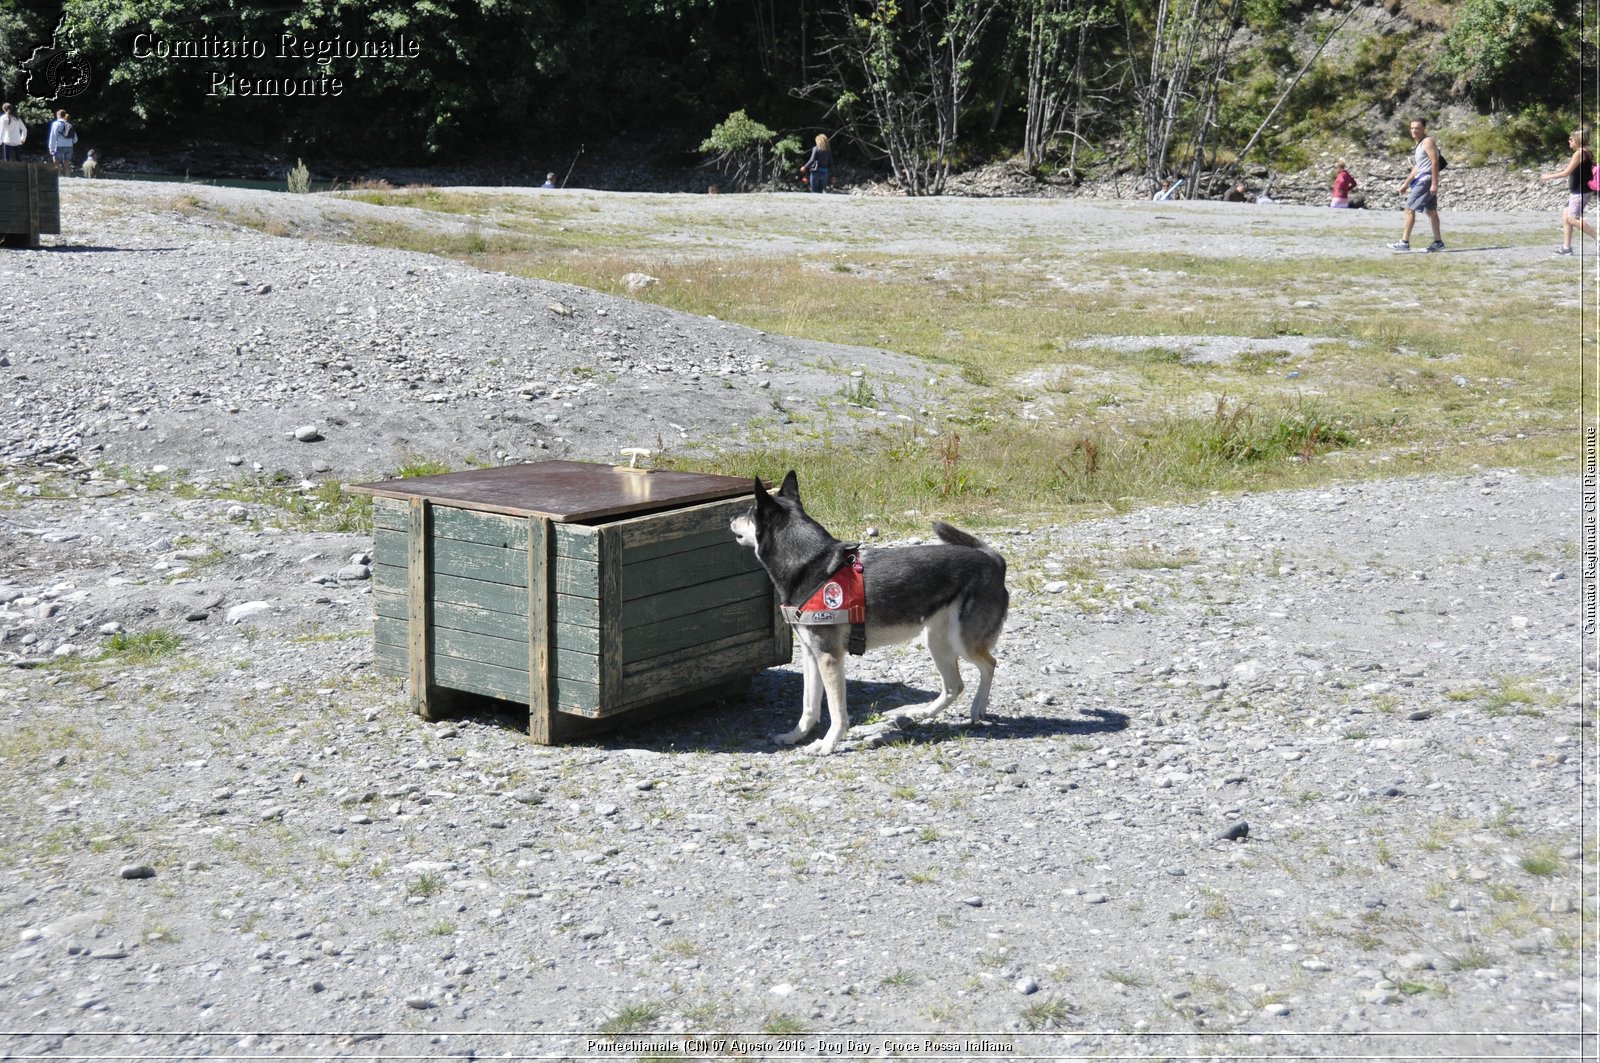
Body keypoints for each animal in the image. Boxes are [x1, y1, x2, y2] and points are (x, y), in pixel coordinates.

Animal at [732, 470, 1004, 755]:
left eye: (749, 512)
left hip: (962, 643)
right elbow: (809, 706)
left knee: (989, 665)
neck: (810, 565)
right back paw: (921, 713)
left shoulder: (829, 657)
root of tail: (994, 560)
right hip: (936, 641)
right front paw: (795, 736)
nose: (730, 519)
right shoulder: (811, 654)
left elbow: (837, 712)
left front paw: (828, 743)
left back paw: (977, 707)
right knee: (954, 685)